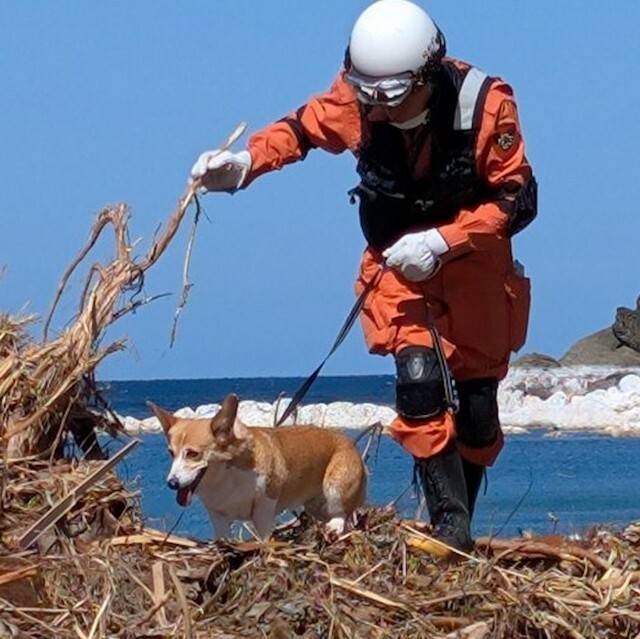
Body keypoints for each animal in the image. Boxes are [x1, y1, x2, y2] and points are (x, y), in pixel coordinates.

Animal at [149, 396, 364, 540]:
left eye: (192, 454)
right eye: (171, 452)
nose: (171, 483)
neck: (225, 477)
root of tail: (349, 442)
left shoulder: (264, 505)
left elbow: (262, 533)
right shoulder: (217, 515)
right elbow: (223, 536)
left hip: (335, 487)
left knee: (341, 514)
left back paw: (333, 528)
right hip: (315, 505)